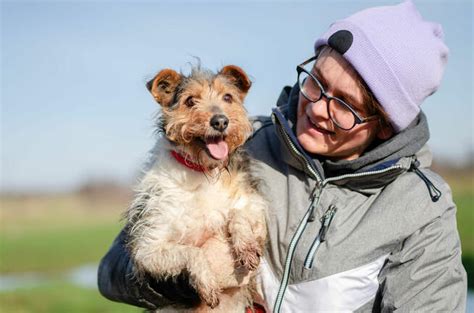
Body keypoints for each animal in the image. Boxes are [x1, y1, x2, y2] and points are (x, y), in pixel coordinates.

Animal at [124, 64, 268, 312]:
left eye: (227, 97)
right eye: (190, 101)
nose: (220, 121)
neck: (202, 171)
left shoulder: (254, 202)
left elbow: (238, 214)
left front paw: (245, 245)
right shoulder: (147, 249)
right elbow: (192, 251)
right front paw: (206, 282)